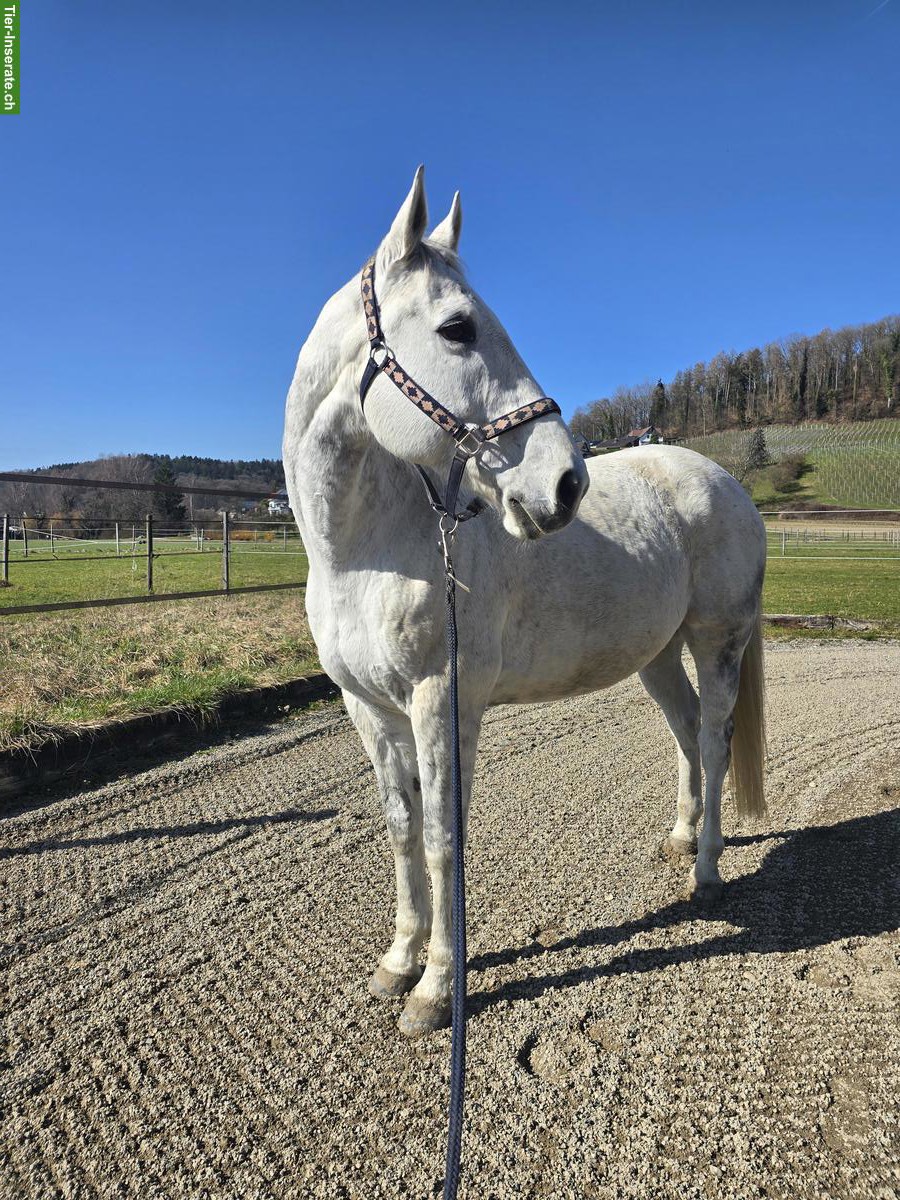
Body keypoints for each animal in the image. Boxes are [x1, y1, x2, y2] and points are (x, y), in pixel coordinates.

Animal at [283, 167, 767, 1038]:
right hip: (656, 655)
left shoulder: (445, 703)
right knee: (685, 734)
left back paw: (708, 870)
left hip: (719, 641)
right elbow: (402, 831)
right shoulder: (369, 709)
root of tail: (725, 484)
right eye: (457, 328)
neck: (364, 552)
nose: (565, 484)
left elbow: (445, 839)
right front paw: (397, 963)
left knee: (713, 742)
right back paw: (681, 840)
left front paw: (437, 989)